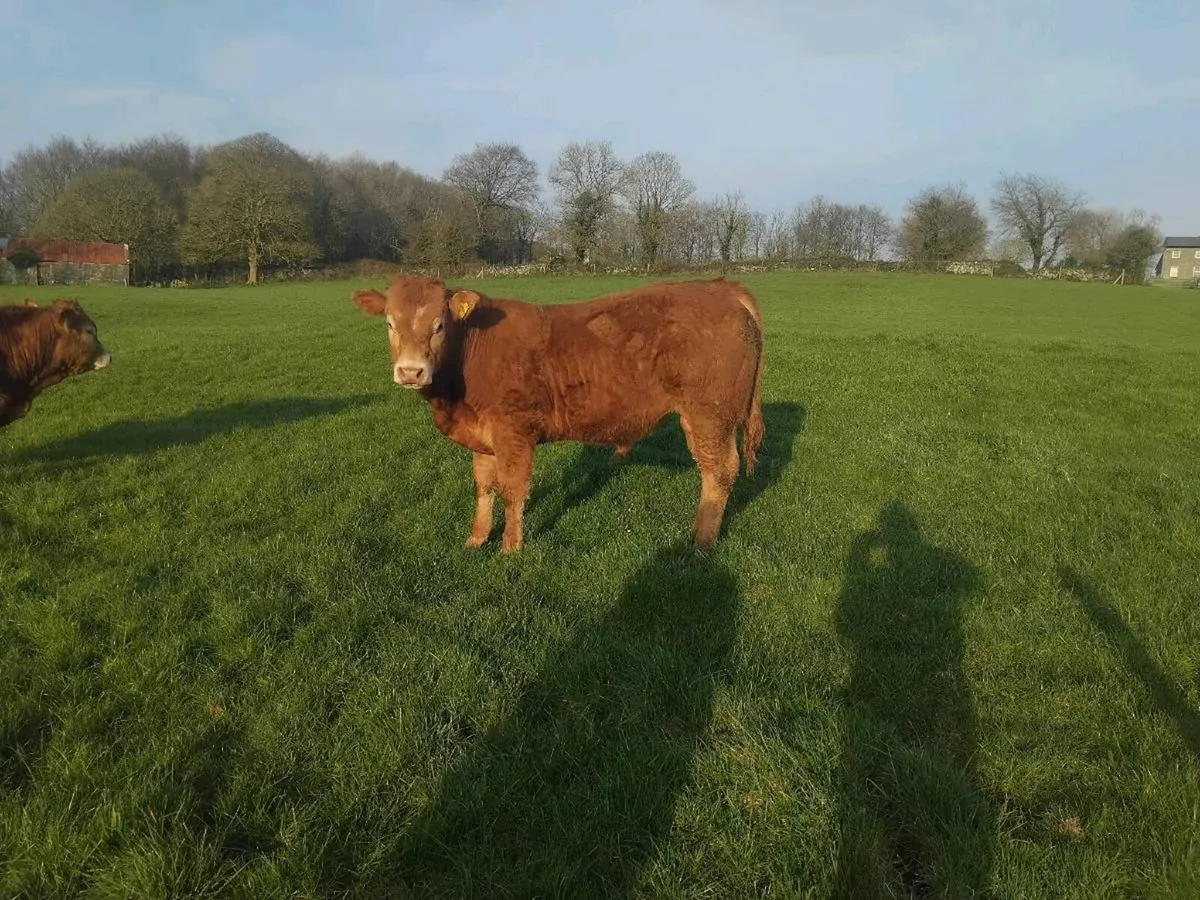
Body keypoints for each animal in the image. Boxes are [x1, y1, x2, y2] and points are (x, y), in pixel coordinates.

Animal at [351, 275, 765, 553]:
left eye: (439, 325)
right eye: (389, 323)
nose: (410, 372)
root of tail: (721, 287)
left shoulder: (514, 433)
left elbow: (513, 491)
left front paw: (510, 549)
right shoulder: (482, 439)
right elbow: (485, 487)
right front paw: (476, 539)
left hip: (710, 414)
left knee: (719, 471)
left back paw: (701, 543)